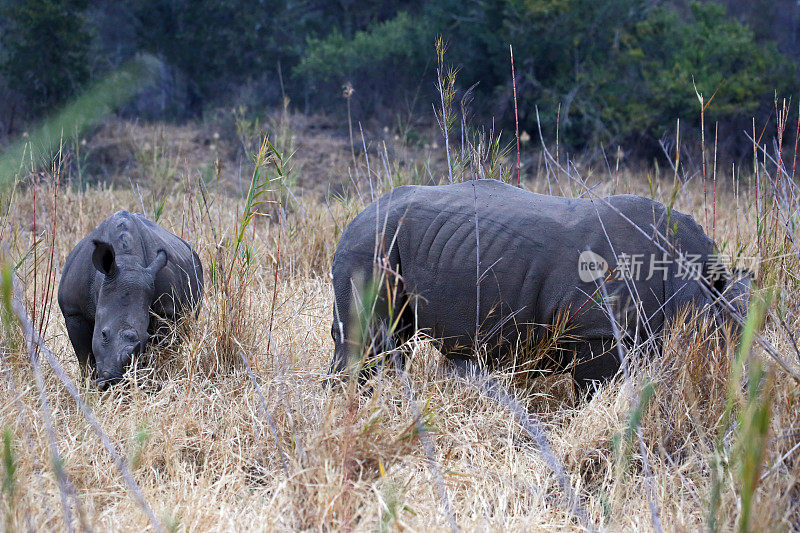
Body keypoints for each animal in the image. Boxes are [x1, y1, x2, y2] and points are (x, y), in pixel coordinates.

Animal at [59, 209, 202, 386]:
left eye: (146, 337)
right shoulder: (73, 312)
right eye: (103, 334)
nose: (114, 381)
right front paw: (88, 388)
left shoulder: (166, 311)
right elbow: (84, 359)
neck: (127, 262)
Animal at [326, 179, 752, 390]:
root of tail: (356, 215)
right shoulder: (598, 332)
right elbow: (597, 392)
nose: (743, 392)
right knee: (370, 337)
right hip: (370, 243)